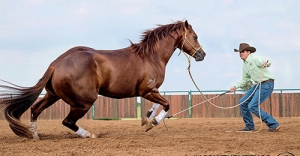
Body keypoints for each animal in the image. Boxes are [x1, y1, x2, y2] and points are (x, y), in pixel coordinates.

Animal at [0, 20, 205, 138]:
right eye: (195, 36)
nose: (202, 55)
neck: (150, 56)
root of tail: (57, 63)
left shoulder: (150, 91)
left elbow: (157, 104)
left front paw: (146, 119)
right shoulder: (147, 90)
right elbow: (167, 104)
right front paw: (152, 123)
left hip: (52, 95)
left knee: (35, 109)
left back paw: (34, 136)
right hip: (83, 102)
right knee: (67, 121)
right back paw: (89, 135)